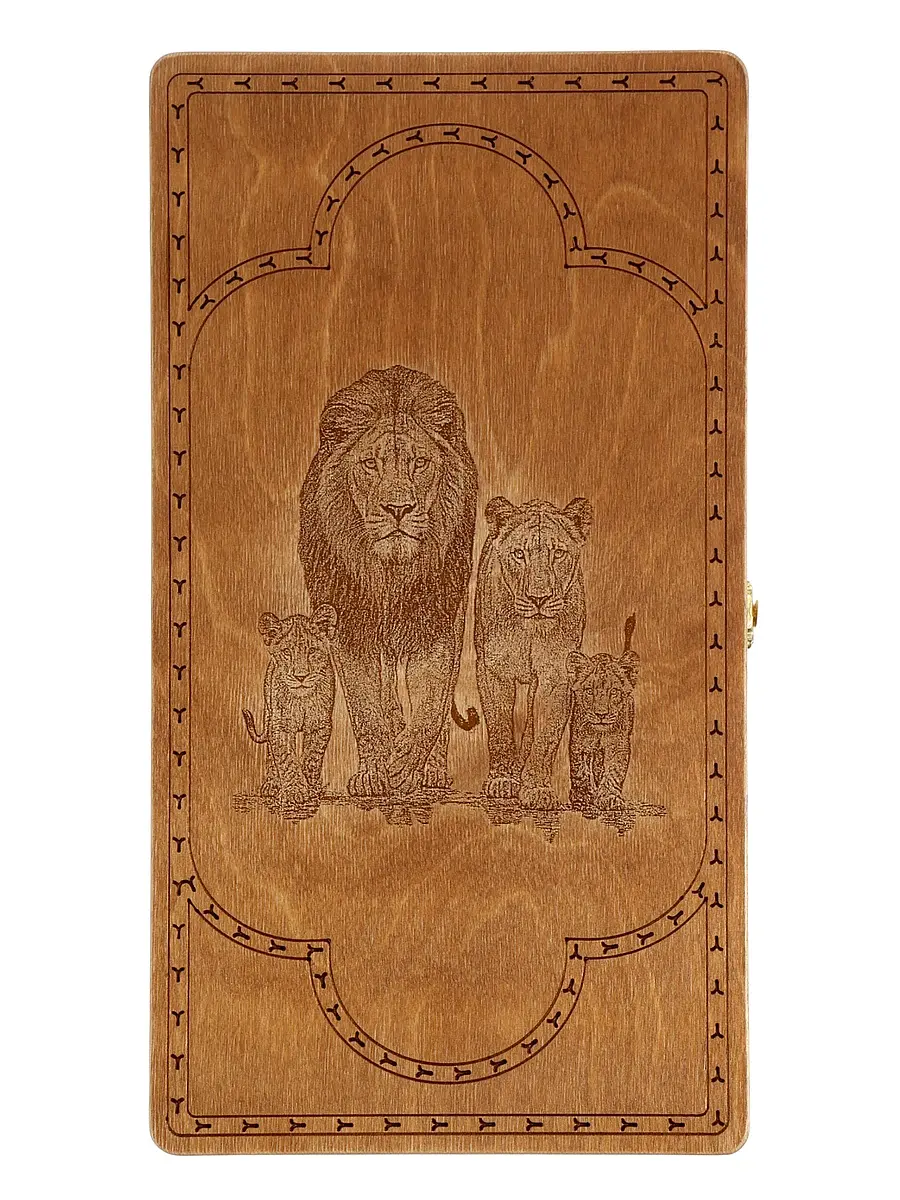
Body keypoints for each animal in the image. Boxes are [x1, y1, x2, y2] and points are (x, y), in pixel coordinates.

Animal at [242, 605, 337, 818]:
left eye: (312, 651)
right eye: (286, 652)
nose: (300, 677)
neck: (301, 698)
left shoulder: (320, 725)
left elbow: (311, 757)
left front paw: (310, 788)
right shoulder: (279, 726)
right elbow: (286, 758)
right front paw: (294, 791)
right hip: (269, 714)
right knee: (270, 754)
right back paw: (271, 784)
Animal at [298, 365, 478, 797]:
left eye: (420, 463)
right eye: (370, 464)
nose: (399, 508)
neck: (391, 571)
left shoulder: (438, 619)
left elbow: (430, 701)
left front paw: (408, 765)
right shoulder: (346, 622)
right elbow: (366, 705)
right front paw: (376, 770)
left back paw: (431, 770)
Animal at [474, 495, 592, 811]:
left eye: (558, 554)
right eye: (519, 554)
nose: (539, 598)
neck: (531, 627)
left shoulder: (557, 676)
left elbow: (545, 737)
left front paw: (537, 788)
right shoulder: (492, 670)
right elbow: (500, 727)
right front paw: (503, 781)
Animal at [567, 613, 639, 816]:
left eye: (613, 692)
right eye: (589, 691)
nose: (601, 714)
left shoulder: (620, 744)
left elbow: (614, 771)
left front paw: (609, 797)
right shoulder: (579, 742)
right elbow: (580, 770)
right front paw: (583, 797)